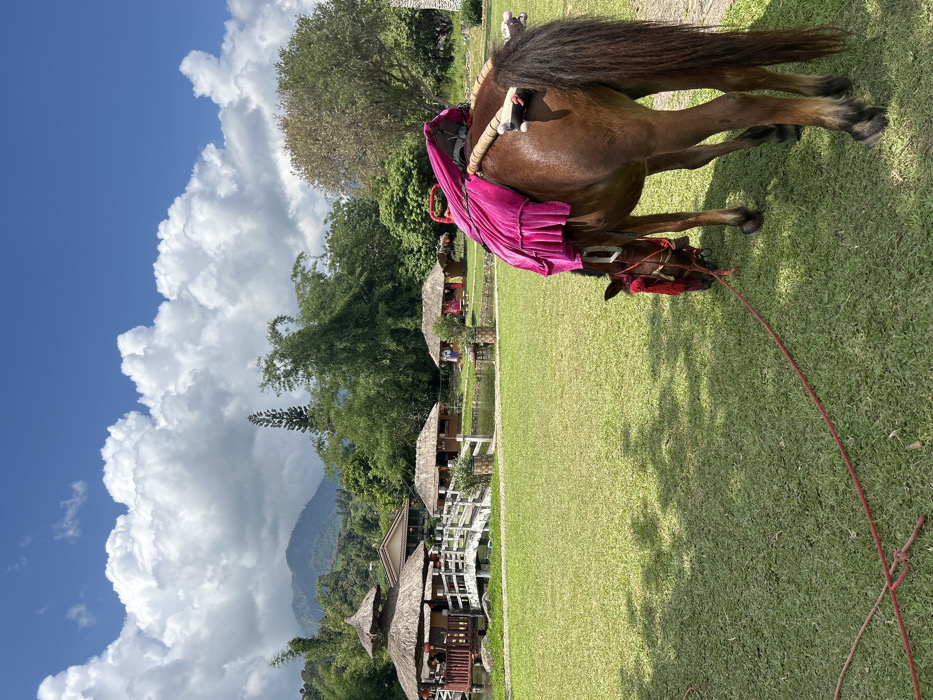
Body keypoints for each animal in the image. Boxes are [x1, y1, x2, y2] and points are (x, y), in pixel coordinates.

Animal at [465, 17, 887, 298]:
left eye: (647, 282)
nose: (705, 279)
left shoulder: (618, 215)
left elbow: (674, 212)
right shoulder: (638, 172)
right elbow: (691, 166)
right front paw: (741, 208)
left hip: (639, 131)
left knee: (731, 103)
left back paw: (847, 119)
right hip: (640, 80)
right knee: (733, 77)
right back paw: (824, 90)